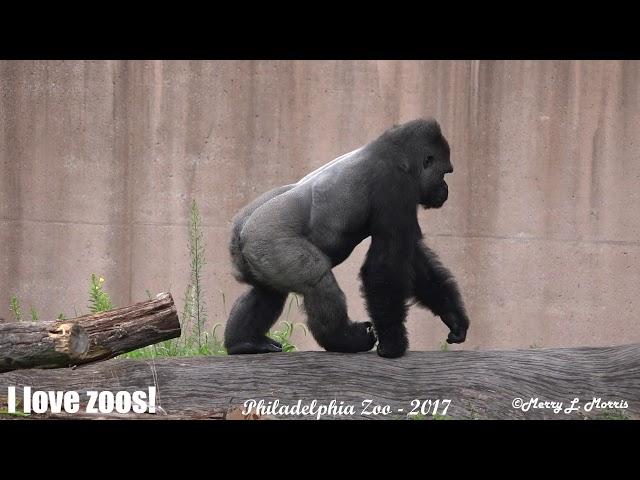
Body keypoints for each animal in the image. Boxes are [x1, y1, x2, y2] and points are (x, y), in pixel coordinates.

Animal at [222, 117, 468, 356]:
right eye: (444, 173)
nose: (446, 189)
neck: (398, 156)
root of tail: (239, 230)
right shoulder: (395, 186)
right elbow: (384, 267)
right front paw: (392, 345)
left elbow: (416, 264)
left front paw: (453, 317)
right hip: (269, 238)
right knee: (318, 283)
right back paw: (345, 339)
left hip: (257, 252)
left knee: (268, 292)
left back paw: (244, 342)